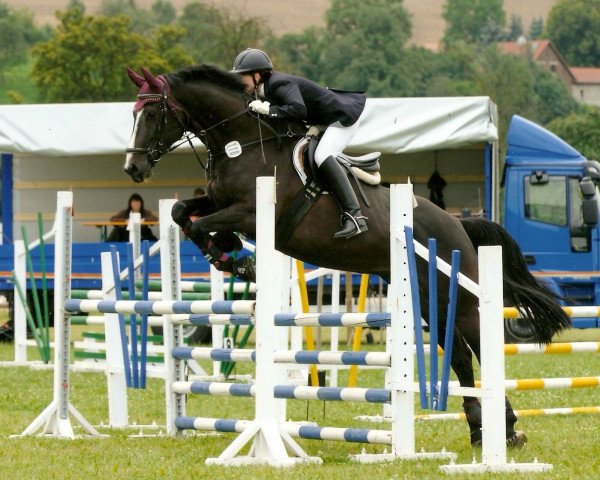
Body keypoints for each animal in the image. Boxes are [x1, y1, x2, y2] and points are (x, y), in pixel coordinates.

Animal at [124, 63, 568, 446]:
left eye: (153, 113)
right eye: (133, 112)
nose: (133, 168)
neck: (240, 143)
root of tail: (459, 225)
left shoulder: (253, 211)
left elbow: (203, 225)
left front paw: (235, 258)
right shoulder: (217, 201)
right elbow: (183, 213)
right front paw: (227, 254)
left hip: (457, 295)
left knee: (478, 346)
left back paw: (506, 431)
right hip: (429, 297)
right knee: (458, 354)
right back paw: (482, 431)